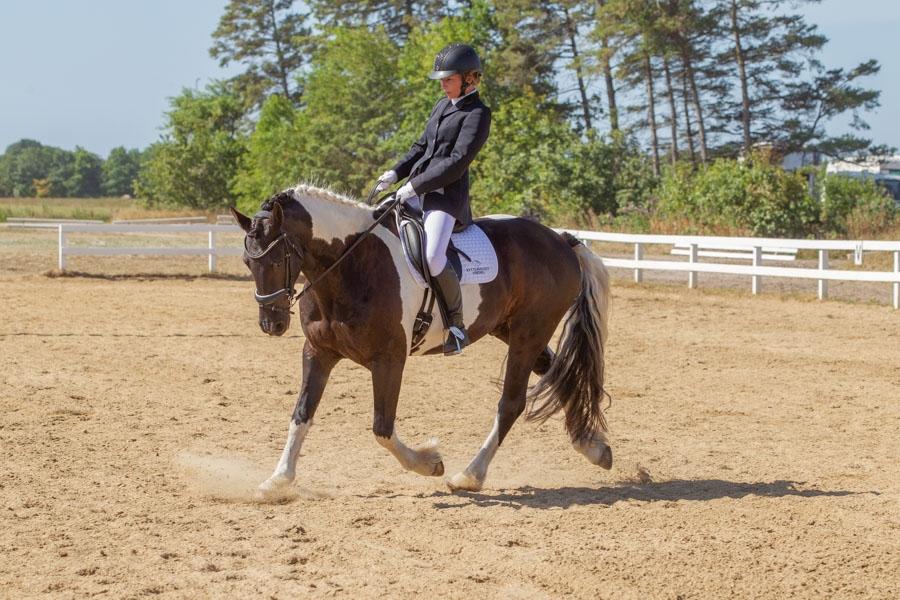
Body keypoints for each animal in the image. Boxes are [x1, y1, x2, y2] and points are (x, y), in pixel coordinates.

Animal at [232, 184, 612, 496]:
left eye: (278, 259)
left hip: (528, 333)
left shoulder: (389, 359)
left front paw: (430, 463)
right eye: (248, 261)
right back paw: (594, 448)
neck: (350, 265)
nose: (271, 323)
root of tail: (560, 240)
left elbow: (382, 428)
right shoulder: (318, 352)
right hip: (511, 330)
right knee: (561, 376)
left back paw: (470, 475)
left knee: (512, 403)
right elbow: (301, 415)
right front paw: (278, 480)